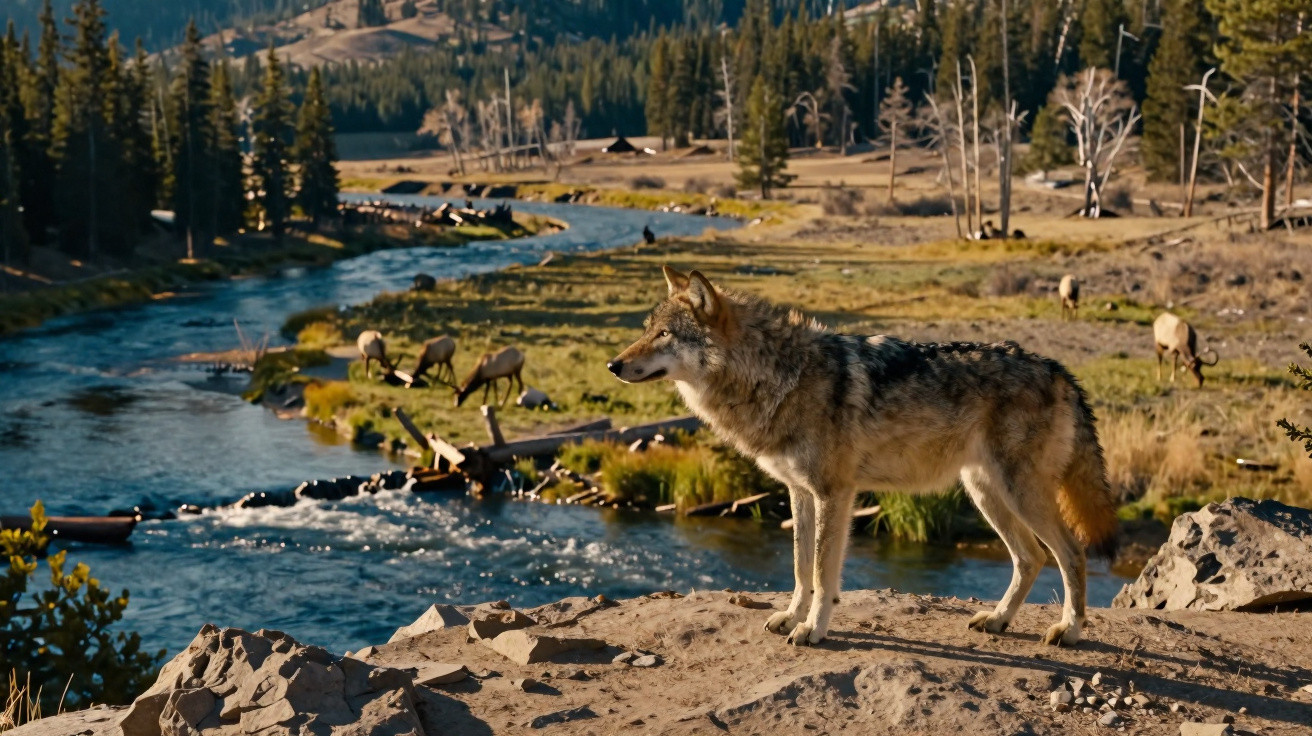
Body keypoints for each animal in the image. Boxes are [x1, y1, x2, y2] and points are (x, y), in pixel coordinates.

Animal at [607, 266, 1118, 646]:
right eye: (646, 331)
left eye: (664, 334)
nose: (613, 365)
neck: (779, 376)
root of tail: (1059, 369)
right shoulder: (800, 492)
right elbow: (799, 568)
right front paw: (791, 617)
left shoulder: (834, 493)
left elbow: (821, 572)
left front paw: (813, 629)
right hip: (985, 493)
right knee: (1030, 557)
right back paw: (997, 620)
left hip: (1018, 493)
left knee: (1070, 553)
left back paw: (1069, 630)